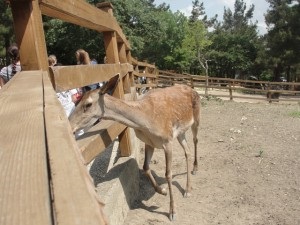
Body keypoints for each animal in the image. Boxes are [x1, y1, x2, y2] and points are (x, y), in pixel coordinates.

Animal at [69, 74, 200, 221]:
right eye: (77, 102)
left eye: (88, 104)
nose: (70, 125)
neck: (145, 121)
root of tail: (192, 88)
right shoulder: (150, 142)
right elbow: (145, 167)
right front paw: (162, 191)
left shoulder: (167, 141)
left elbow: (168, 174)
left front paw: (172, 212)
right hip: (181, 133)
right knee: (187, 151)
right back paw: (188, 188)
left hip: (196, 119)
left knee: (195, 140)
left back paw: (194, 173)